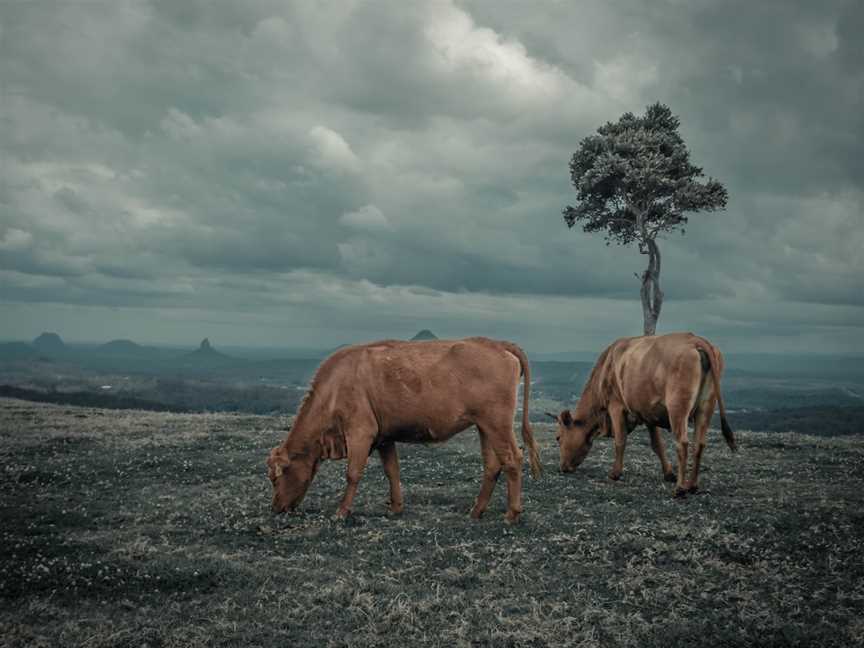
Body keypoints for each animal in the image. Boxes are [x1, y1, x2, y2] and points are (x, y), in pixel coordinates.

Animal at [266, 336, 544, 524]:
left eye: (277, 477)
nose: (276, 507)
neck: (334, 388)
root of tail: (496, 344)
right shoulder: (383, 437)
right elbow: (392, 471)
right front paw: (396, 507)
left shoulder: (360, 431)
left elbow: (353, 473)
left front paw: (341, 512)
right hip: (485, 425)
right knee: (492, 464)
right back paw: (476, 511)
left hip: (498, 423)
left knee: (512, 459)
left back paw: (512, 513)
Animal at [552, 332, 736, 498]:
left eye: (558, 438)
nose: (562, 467)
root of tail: (695, 340)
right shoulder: (648, 413)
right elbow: (657, 444)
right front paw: (668, 473)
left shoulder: (616, 406)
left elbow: (620, 440)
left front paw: (615, 473)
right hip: (706, 406)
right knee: (700, 444)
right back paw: (692, 485)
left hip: (678, 407)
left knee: (682, 443)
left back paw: (680, 489)